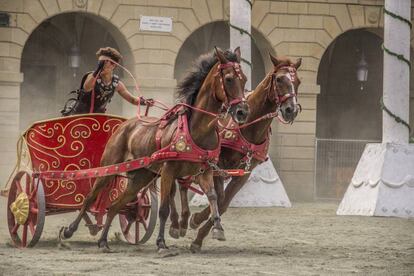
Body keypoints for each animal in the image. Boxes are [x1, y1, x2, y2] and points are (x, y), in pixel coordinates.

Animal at [60, 48, 249, 252]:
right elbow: (164, 208)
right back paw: (70, 230)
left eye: (245, 79)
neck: (196, 129)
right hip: (109, 167)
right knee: (89, 198)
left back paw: (103, 241)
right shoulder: (168, 171)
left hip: (141, 176)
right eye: (228, 79)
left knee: (115, 206)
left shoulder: (205, 171)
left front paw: (218, 228)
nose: (243, 112)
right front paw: (161, 242)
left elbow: (213, 197)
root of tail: (125, 124)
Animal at [167, 52, 300, 251]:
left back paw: (184, 220)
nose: (291, 109)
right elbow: (219, 197)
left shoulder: (245, 172)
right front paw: (198, 222)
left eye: (297, 81)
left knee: (184, 182)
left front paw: (200, 232)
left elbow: (224, 203)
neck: (249, 125)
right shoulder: (217, 165)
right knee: (181, 182)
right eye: (278, 79)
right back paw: (181, 221)